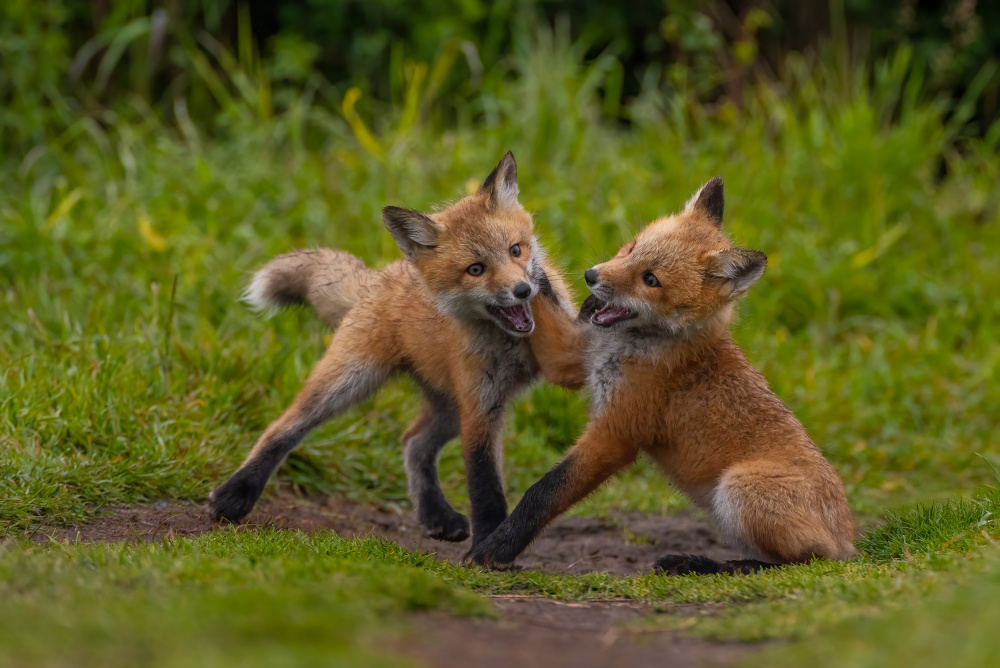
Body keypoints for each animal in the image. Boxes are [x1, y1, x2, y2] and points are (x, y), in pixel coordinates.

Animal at [208, 152, 586, 546]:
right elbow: (485, 486)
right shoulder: (480, 408)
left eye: (516, 250)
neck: (511, 346)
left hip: (448, 408)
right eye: (476, 269)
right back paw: (236, 493)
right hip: (350, 383)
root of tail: (378, 278)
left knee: (413, 442)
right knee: (282, 428)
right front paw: (487, 543)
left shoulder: (564, 359)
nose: (523, 290)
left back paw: (436, 515)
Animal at [466, 177, 857, 574]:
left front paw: (496, 547)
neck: (630, 346)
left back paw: (704, 564)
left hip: (738, 490)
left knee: (800, 562)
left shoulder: (616, 433)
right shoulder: (572, 359)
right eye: (631, 248)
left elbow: (544, 492)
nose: (591, 275)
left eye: (650, 279)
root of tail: (851, 544)